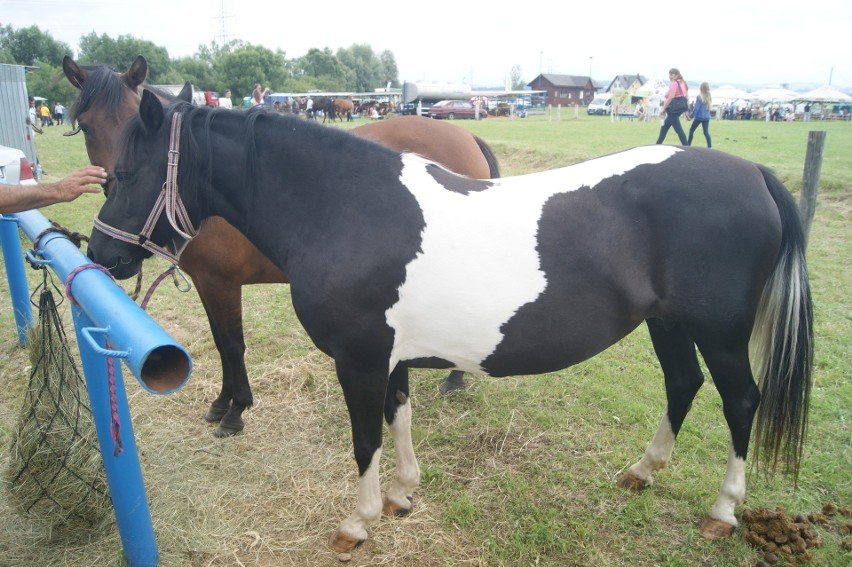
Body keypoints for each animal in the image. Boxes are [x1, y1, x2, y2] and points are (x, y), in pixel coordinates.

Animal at [61, 56, 500, 434]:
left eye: (130, 169)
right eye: (86, 125)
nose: (103, 252)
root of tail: (467, 135)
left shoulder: (221, 283)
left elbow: (233, 344)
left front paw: (236, 411)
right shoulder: (205, 283)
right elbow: (220, 342)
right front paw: (222, 402)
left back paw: (455, 377)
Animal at [86, 93, 812, 556]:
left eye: (125, 171)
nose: (100, 255)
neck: (344, 208)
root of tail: (755, 176)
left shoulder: (358, 357)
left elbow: (364, 438)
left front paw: (358, 522)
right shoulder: (392, 355)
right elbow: (399, 417)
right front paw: (403, 496)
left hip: (719, 333)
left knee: (740, 402)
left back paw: (723, 510)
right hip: (669, 324)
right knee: (683, 384)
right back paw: (642, 471)